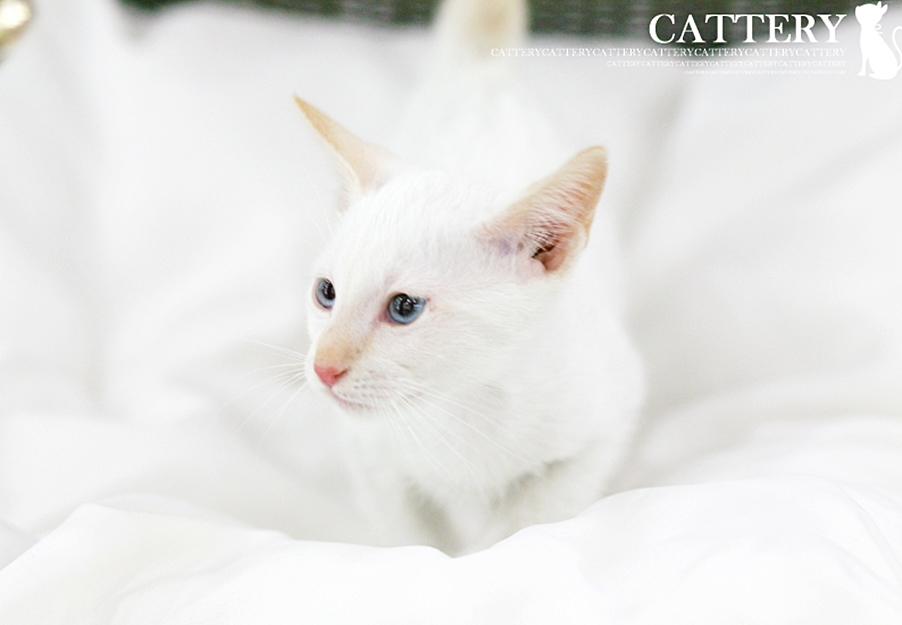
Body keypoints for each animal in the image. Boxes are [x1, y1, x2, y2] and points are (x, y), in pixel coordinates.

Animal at [294, 0, 643, 555]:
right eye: (326, 293)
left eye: (404, 308)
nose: (324, 367)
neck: (461, 403)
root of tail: (483, 74)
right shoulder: (370, 456)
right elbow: (410, 535)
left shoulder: (601, 427)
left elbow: (526, 522)